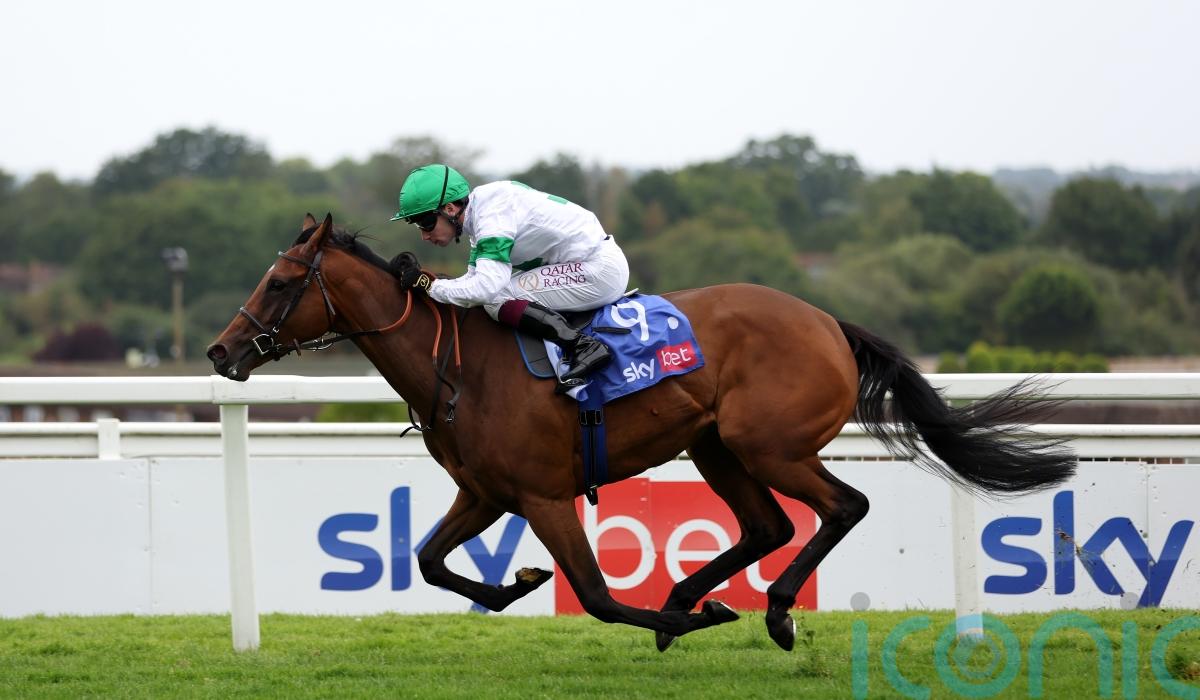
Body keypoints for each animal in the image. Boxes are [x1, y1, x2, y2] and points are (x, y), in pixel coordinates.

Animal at [206, 213, 1076, 651]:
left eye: (280, 282)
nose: (220, 351)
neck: (458, 366)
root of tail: (828, 320)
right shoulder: (486, 493)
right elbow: (427, 561)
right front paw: (516, 583)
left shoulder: (543, 495)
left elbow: (595, 596)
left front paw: (687, 620)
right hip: (715, 445)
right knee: (768, 525)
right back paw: (700, 592)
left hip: (769, 443)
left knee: (840, 508)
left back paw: (772, 610)